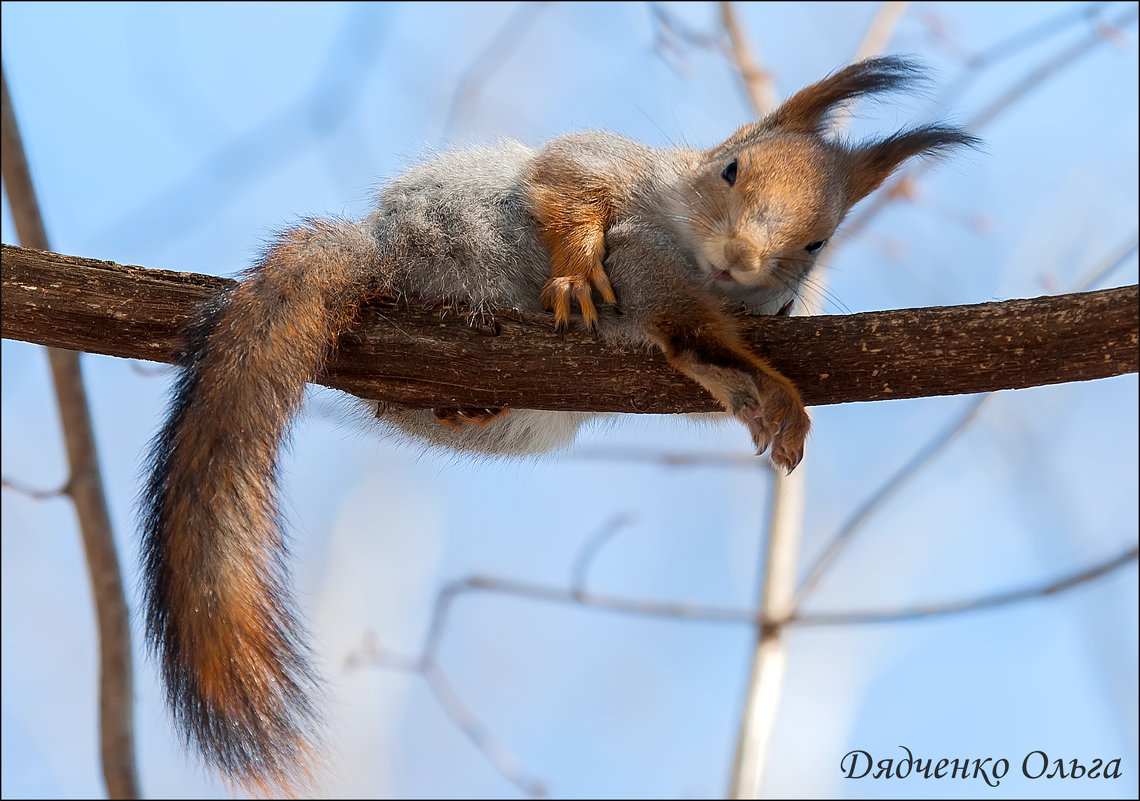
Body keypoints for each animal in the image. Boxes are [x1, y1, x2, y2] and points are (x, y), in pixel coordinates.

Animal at [140, 58, 971, 797]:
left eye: (817, 243)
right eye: (731, 170)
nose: (739, 260)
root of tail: (380, 253)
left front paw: (768, 397)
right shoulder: (626, 180)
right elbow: (573, 176)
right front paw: (583, 269)